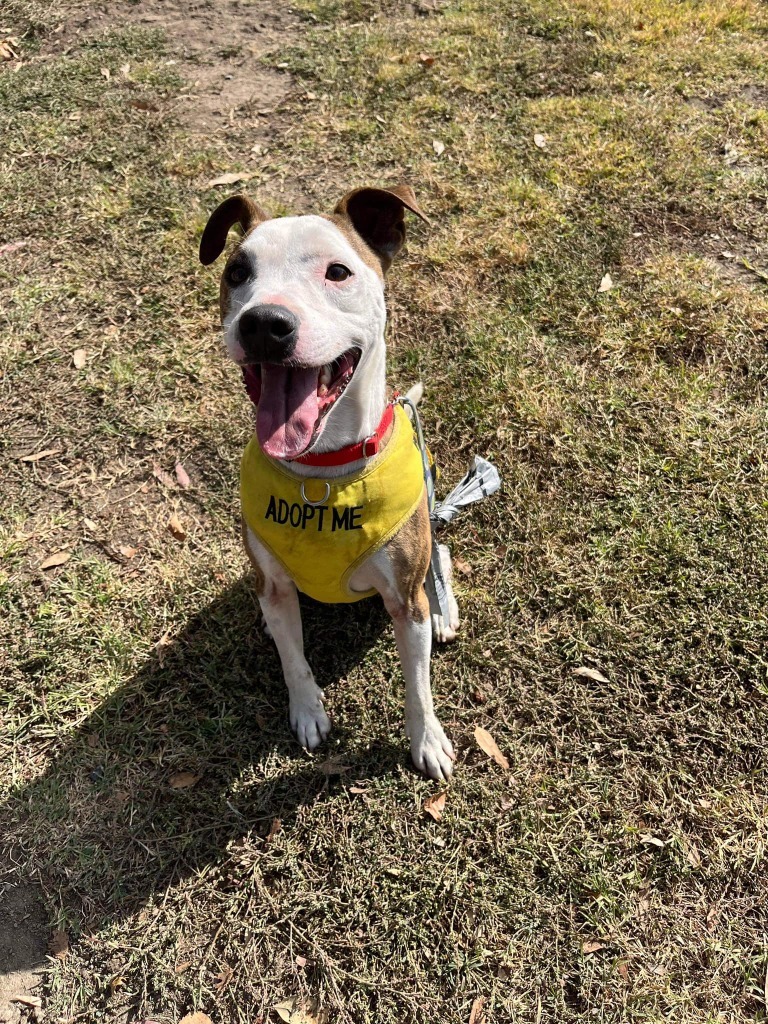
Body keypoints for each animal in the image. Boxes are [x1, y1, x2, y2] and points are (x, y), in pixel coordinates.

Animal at [201, 184, 460, 778]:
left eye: (337, 272)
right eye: (237, 272)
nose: (264, 323)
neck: (322, 471)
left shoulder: (403, 600)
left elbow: (418, 684)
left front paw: (427, 741)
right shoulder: (275, 587)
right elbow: (293, 659)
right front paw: (307, 712)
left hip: (427, 526)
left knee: (440, 555)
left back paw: (444, 611)